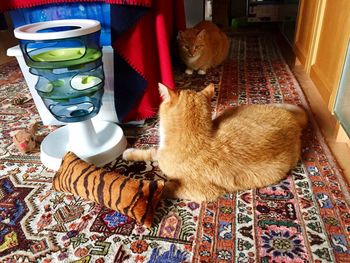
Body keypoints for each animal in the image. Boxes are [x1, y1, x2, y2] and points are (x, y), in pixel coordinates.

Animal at [122, 84, 306, 202]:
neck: (193, 138)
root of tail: (292, 119)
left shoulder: (199, 192)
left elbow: (164, 186)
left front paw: (143, 189)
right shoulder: (159, 152)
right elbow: (151, 151)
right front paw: (130, 153)